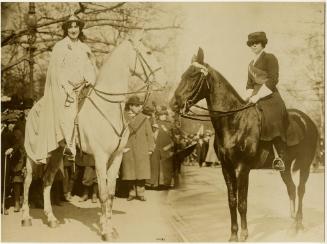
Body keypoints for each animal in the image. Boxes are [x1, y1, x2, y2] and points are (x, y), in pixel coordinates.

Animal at [21, 37, 164, 241]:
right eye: (149, 52)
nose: (164, 80)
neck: (109, 108)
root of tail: (34, 108)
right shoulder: (100, 157)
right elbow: (103, 194)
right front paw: (105, 231)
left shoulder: (117, 156)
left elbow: (110, 194)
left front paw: (109, 226)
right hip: (33, 154)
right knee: (28, 180)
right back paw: (26, 217)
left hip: (56, 153)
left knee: (47, 180)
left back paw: (51, 218)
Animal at [170, 48, 320, 241]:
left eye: (193, 76)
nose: (173, 104)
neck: (234, 121)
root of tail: (307, 120)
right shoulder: (226, 167)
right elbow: (232, 201)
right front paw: (233, 234)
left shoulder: (243, 168)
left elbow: (242, 202)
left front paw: (244, 234)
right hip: (285, 168)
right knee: (292, 189)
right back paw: (292, 224)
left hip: (305, 164)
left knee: (301, 189)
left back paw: (298, 224)